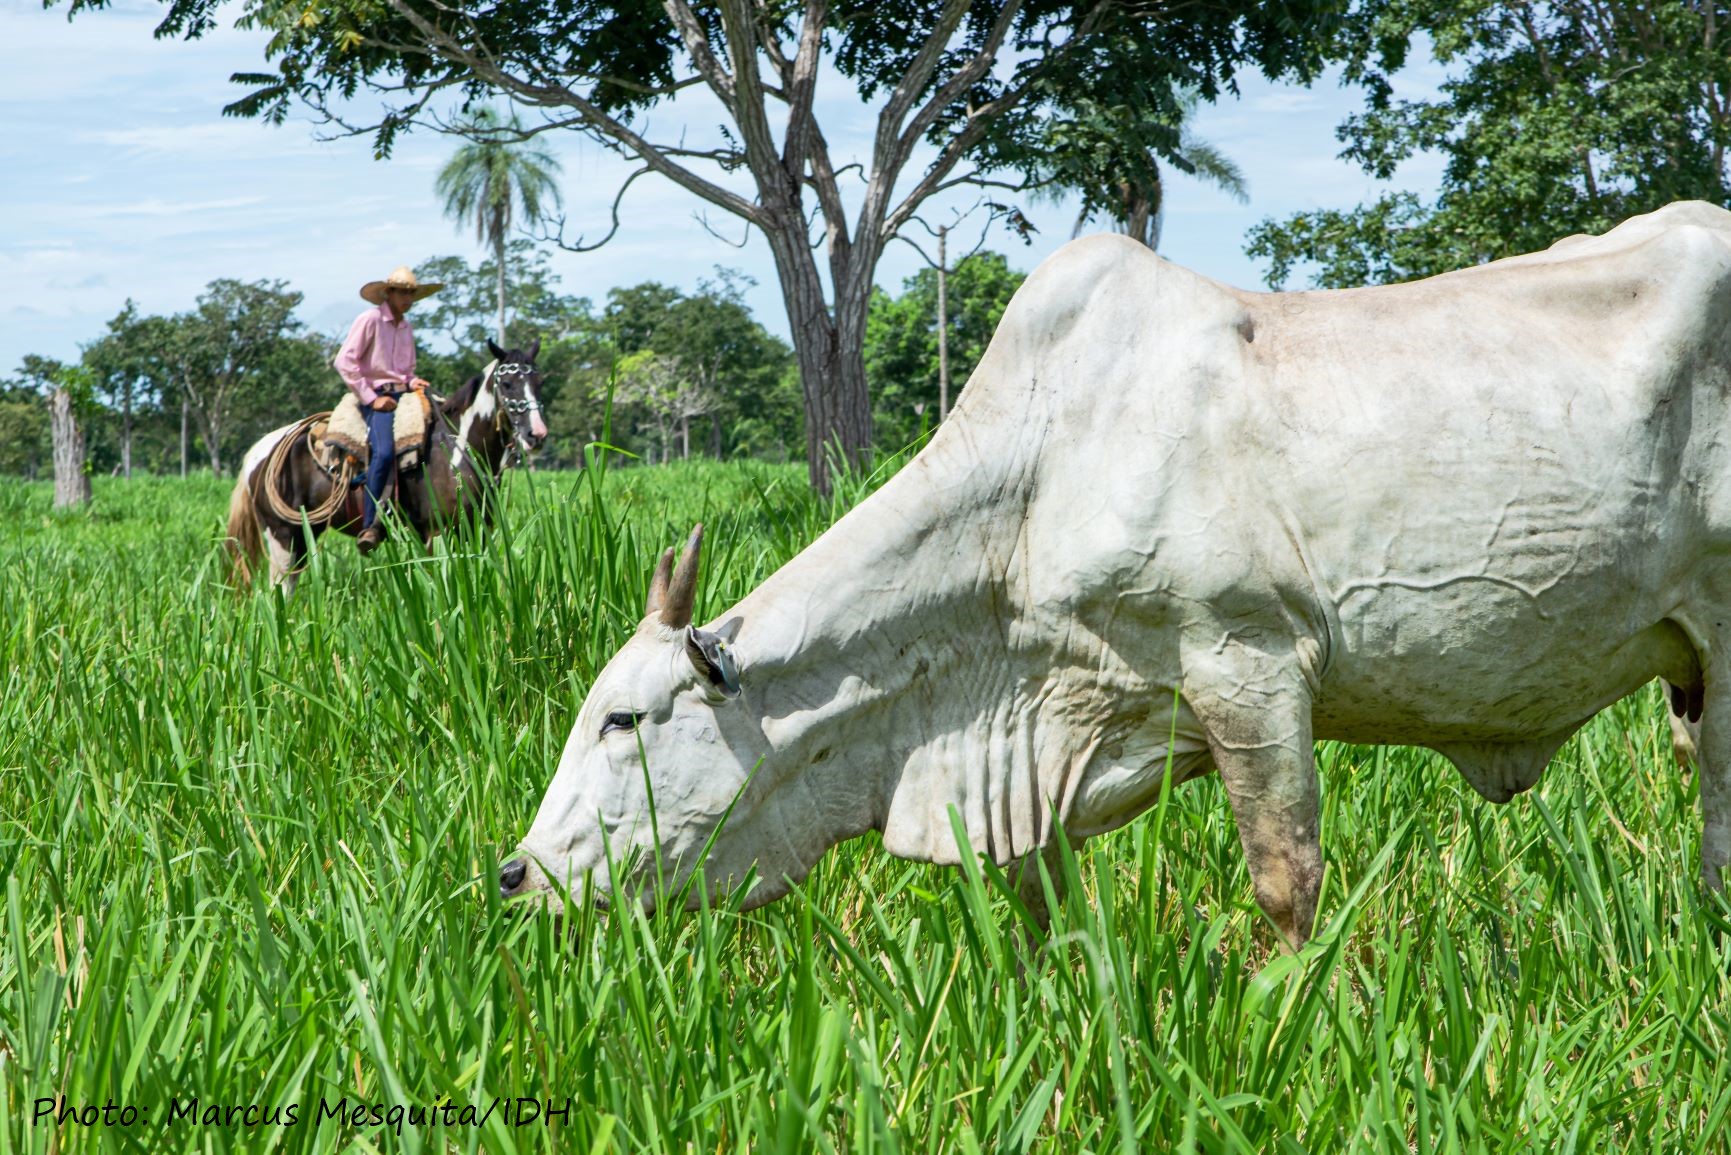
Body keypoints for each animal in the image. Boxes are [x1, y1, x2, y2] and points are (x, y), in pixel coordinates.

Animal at [225, 335, 546, 592]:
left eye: (539, 383)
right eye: (507, 383)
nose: (537, 434)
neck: (456, 450)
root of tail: (261, 451)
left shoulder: (475, 532)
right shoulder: (438, 533)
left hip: (305, 533)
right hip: (282, 535)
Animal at [505, 203, 1731, 955]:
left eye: (623, 719)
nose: (516, 874)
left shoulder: (1246, 660)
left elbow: (1286, 881)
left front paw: (1287, 1010)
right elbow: (1034, 907)